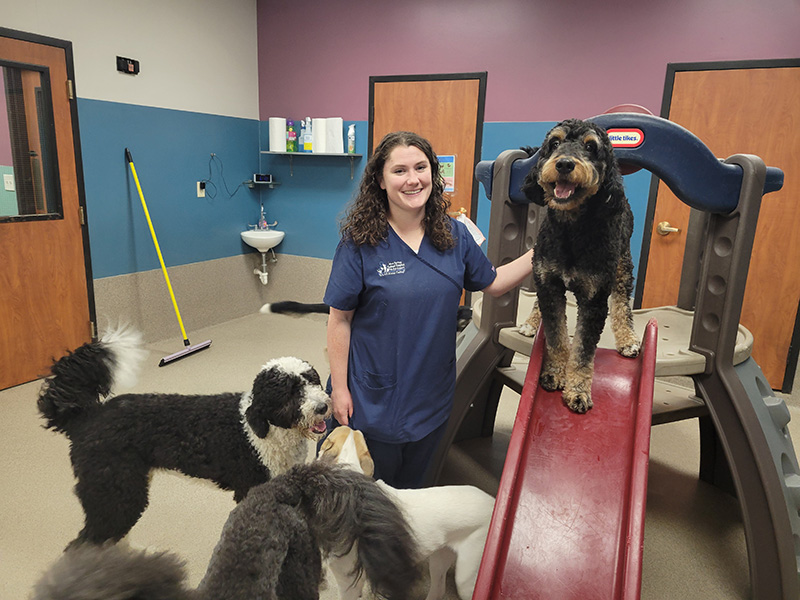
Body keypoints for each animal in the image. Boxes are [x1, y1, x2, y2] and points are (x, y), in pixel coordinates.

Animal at [36, 326, 332, 548]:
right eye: (289, 391)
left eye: (312, 379)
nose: (323, 407)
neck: (266, 428)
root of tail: (88, 416)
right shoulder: (252, 489)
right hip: (115, 493)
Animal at [520, 118, 644, 412]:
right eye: (554, 143)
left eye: (590, 146)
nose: (565, 163)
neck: (572, 230)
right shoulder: (548, 284)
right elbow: (556, 338)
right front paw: (555, 373)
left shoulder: (594, 299)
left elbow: (583, 352)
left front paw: (577, 390)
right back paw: (531, 322)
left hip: (622, 265)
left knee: (622, 303)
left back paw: (628, 339)